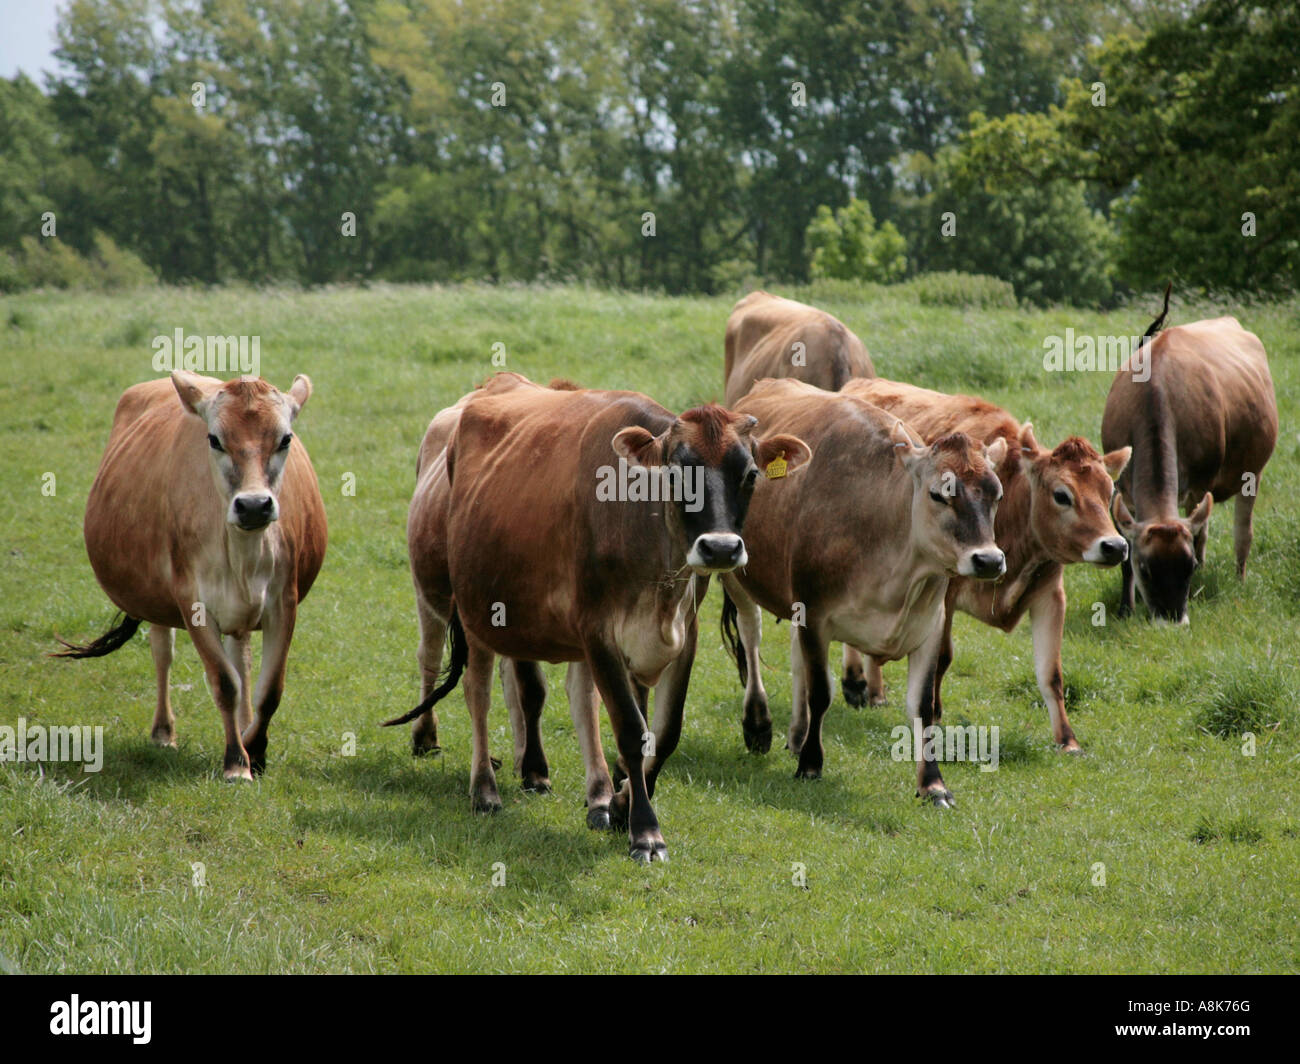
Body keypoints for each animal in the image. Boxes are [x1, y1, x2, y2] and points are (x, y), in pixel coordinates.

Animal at [55, 372, 327, 780]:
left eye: (285, 439)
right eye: (214, 439)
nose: (253, 505)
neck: (243, 552)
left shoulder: (284, 602)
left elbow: (269, 690)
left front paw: (255, 749)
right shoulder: (191, 601)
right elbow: (224, 683)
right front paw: (236, 762)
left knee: (241, 659)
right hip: (155, 601)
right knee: (163, 652)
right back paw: (164, 731)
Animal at [386, 372, 811, 862]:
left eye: (751, 474)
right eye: (675, 473)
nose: (720, 548)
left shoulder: (684, 633)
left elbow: (663, 733)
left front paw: (622, 801)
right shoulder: (597, 631)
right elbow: (629, 728)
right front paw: (646, 831)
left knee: (562, 694)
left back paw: (587, 793)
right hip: (474, 611)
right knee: (478, 691)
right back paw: (484, 789)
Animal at [718, 378, 1006, 806]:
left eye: (997, 495)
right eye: (938, 494)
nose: (988, 560)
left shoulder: (930, 625)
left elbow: (922, 706)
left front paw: (933, 784)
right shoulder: (816, 615)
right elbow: (821, 692)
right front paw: (810, 765)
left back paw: (797, 734)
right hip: (737, 574)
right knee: (751, 636)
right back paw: (758, 724)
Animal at [838, 377, 1131, 751]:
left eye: (1109, 492)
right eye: (1062, 495)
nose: (1114, 546)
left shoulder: (1051, 595)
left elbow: (1051, 673)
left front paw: (1067, 740)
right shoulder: (945, 595)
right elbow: (942, 657)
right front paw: (935, 715)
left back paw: (874, 691)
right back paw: (856, 683)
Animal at [1101, 291, 1277, 623]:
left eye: (1189, 566)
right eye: (1146, 569)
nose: (1172, 618)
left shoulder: (1199, 484)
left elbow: (1199, 539)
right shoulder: (1121, 490)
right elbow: (1124, 553)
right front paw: (1125, 608)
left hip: (1253, 473)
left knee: (1242, 533)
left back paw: (1239, 578)